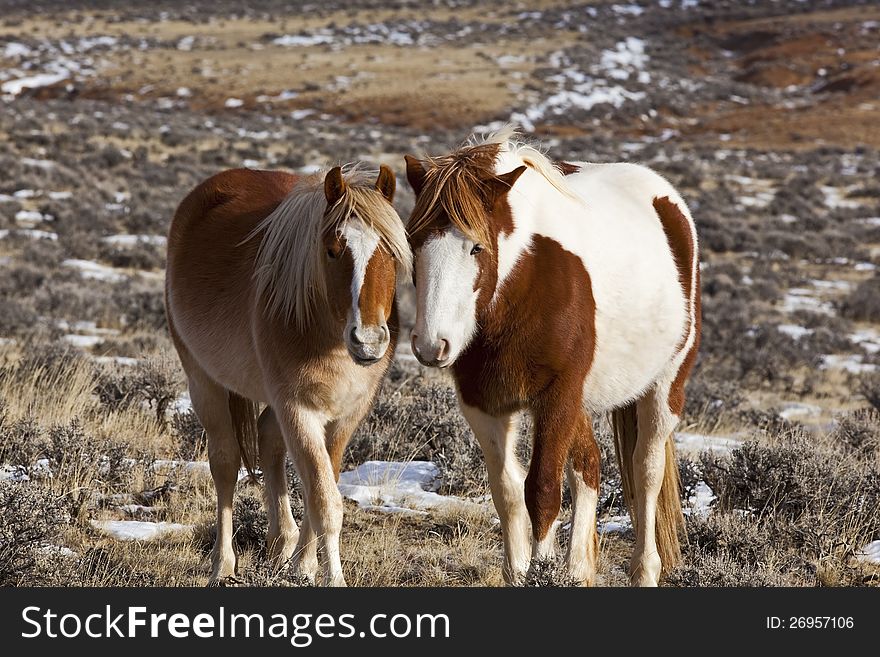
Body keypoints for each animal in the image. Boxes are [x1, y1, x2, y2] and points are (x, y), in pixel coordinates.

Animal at [166, 164, 412, 584]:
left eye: (392, 254)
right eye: (332, 250)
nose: (368, 340)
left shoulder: (345, 416)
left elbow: (320, 488)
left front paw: (304, 564)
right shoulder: (299, 409)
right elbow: (325, 502)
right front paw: (333, 578)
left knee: (268, 440)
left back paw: (281, 543)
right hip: (205, 384)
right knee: (225, 465)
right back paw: (222, 565)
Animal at [406, 127, 700, 584]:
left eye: (475, 248)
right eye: (413, 240)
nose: (431, 345)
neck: (521, 279)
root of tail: (668, 202)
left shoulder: (555, 396)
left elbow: (542, 489)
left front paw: (541, 569)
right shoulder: (483, 403)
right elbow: (507, 491)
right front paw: (522, 570)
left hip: (663, 387)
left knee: (645, 472)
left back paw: (644, 570)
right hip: (579, 401)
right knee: (589, 467)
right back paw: (578, 569)